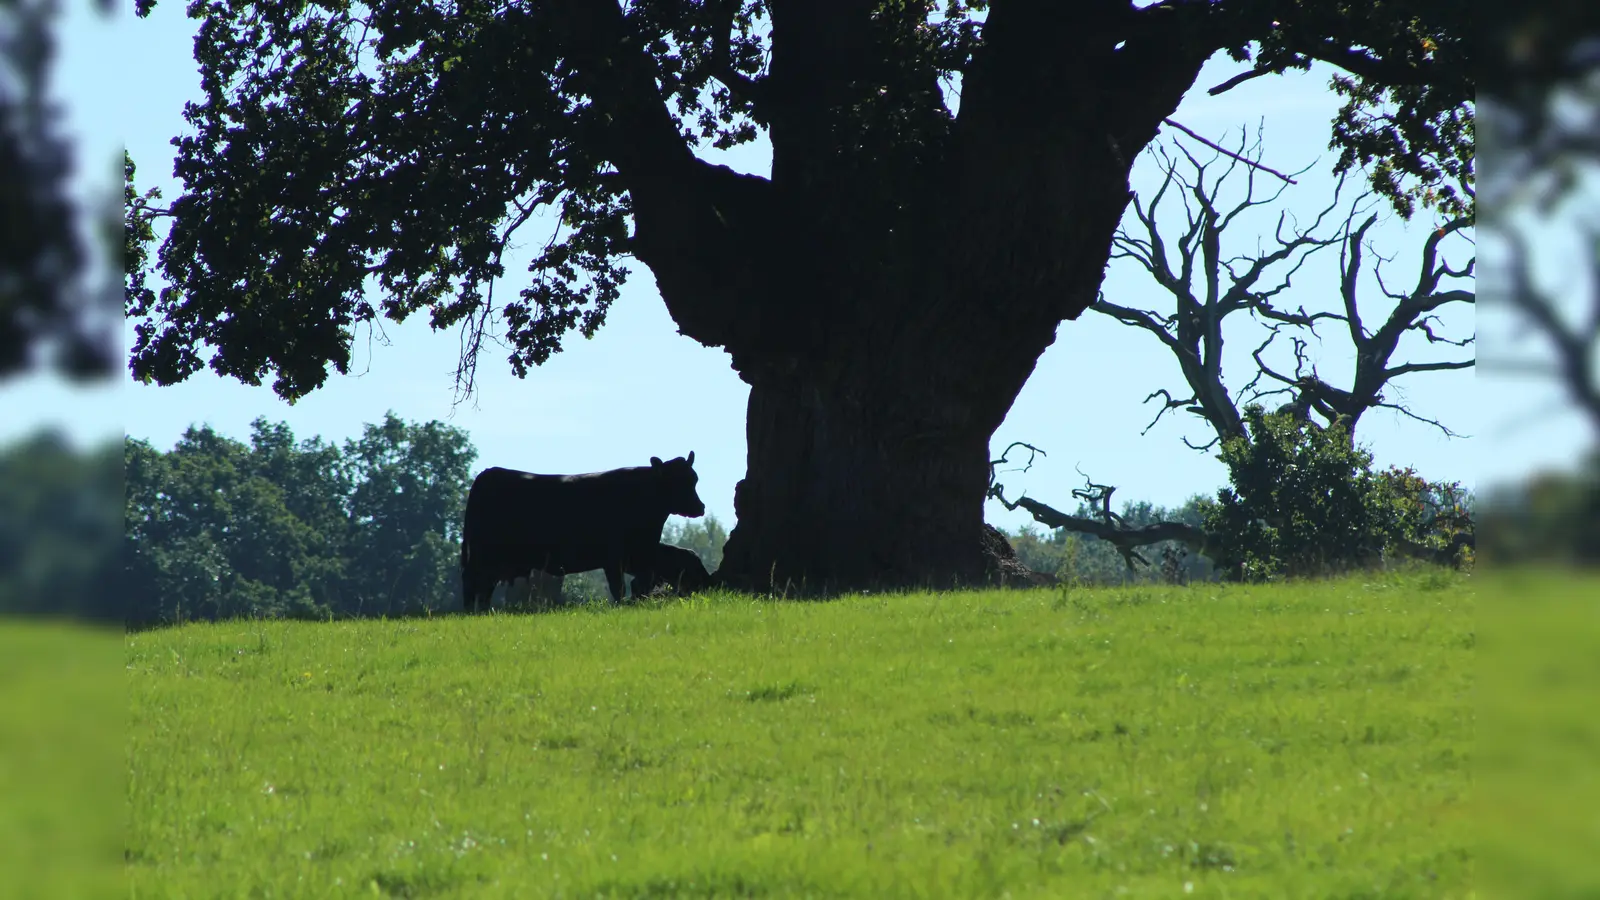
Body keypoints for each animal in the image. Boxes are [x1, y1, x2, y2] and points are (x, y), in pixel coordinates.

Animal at [467, 451, 710, 611]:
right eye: (675, 482)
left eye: (694, 479)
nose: (700, 507)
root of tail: (488, 473)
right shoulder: (614, 558)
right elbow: (619, 588)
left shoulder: (641, 557)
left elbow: (640, 586)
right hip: (482, 559)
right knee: (477, 590)